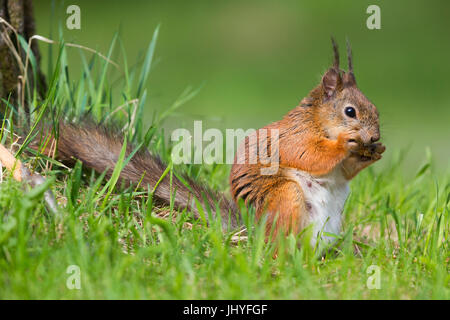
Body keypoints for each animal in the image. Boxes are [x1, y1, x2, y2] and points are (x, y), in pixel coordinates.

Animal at [34, 37, 384, 248]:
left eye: (376, 109)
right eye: (350, 111)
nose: (376, 137)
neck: (319, 122)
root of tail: (251, 230)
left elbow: (344, 171)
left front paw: (373, 153)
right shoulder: (293, 137)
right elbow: (310, 155)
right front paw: (349, 142)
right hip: (286, 197)